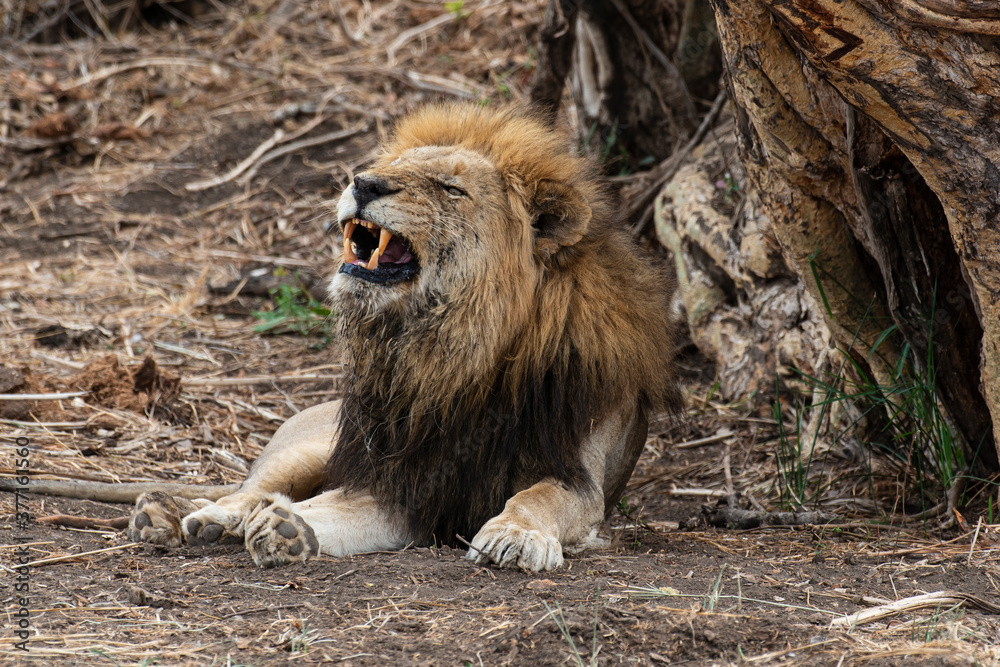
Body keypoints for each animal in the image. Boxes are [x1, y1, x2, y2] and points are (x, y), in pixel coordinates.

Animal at [19, 104, 680, 571]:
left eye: (451, 188)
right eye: (394, 170)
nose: (363, 181)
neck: (460, 355)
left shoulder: (578, 478)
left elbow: (540, 498)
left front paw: (515, 537)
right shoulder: (399, 478)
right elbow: (335, 505)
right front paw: (283, 523)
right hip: (309, 447)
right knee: (245, 488)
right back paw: (189, 517)